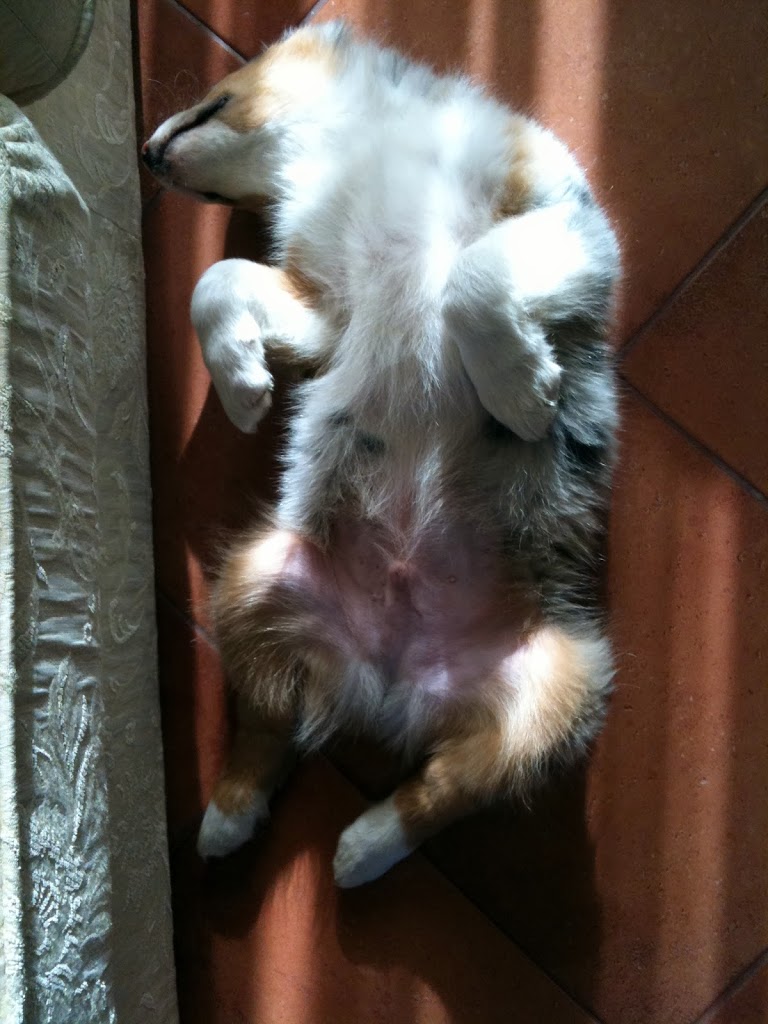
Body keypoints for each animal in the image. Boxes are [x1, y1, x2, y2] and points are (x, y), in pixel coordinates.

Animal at [143, 21, 620, 888]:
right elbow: (218, 278)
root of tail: (391, 680)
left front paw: (522, 391)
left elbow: (473, 277)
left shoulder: (563, 214)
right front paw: (242, 386)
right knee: (269, 727)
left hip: (560, 685)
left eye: (217, 95)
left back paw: (363, 848)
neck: (351, 146)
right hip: (254, 576)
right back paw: (229, 820)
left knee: (456, 785)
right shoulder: (324, 308)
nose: (146, 154)